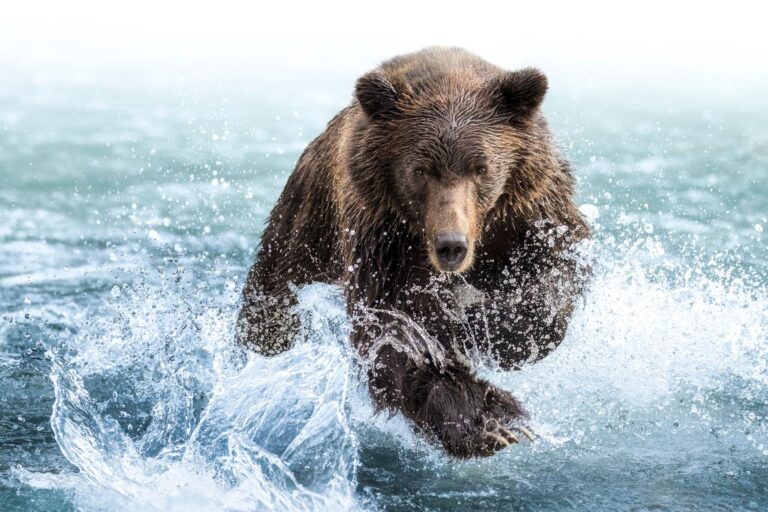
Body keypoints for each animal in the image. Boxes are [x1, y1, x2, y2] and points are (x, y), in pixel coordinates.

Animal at [237, 47, 589, 458]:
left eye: (482, 167)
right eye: (420, 170)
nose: (451, 245)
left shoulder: (529, 212)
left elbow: (551, 280)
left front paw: (488, 328)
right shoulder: (383, 241)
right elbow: (394, 332)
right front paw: (488, 421)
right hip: (300, 238)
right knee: (272, 312)